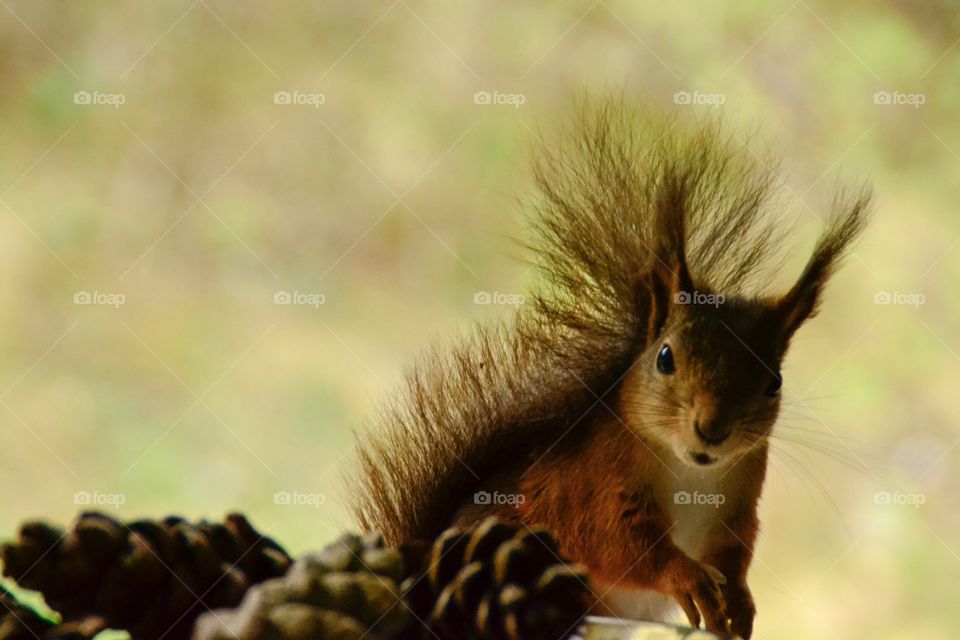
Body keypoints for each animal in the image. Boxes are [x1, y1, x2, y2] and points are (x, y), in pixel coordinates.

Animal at [349, 101, 870, 639]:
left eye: (774, 382)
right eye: (665, 357)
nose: (713, 429)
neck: (693, 473)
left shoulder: (739, 507)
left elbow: (734, 557)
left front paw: (740, 603)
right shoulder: (592, 486)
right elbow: (618, 543)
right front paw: (687, 578)